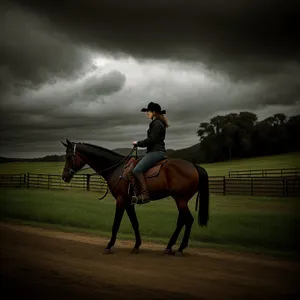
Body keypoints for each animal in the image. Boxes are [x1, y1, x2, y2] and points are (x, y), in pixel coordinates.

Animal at [61, 139, 209, 254]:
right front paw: (137, 246)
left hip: (180, 200)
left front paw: (109, 245)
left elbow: (116, 224)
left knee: (188, 220)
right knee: (182, 221)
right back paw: (169, 247)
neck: (116, 169)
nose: (64, 177)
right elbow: (135, 223)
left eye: (68, 157)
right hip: (181, 200)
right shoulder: (128, 203)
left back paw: (180, 248)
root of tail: (194, 166)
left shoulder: (121, 200)